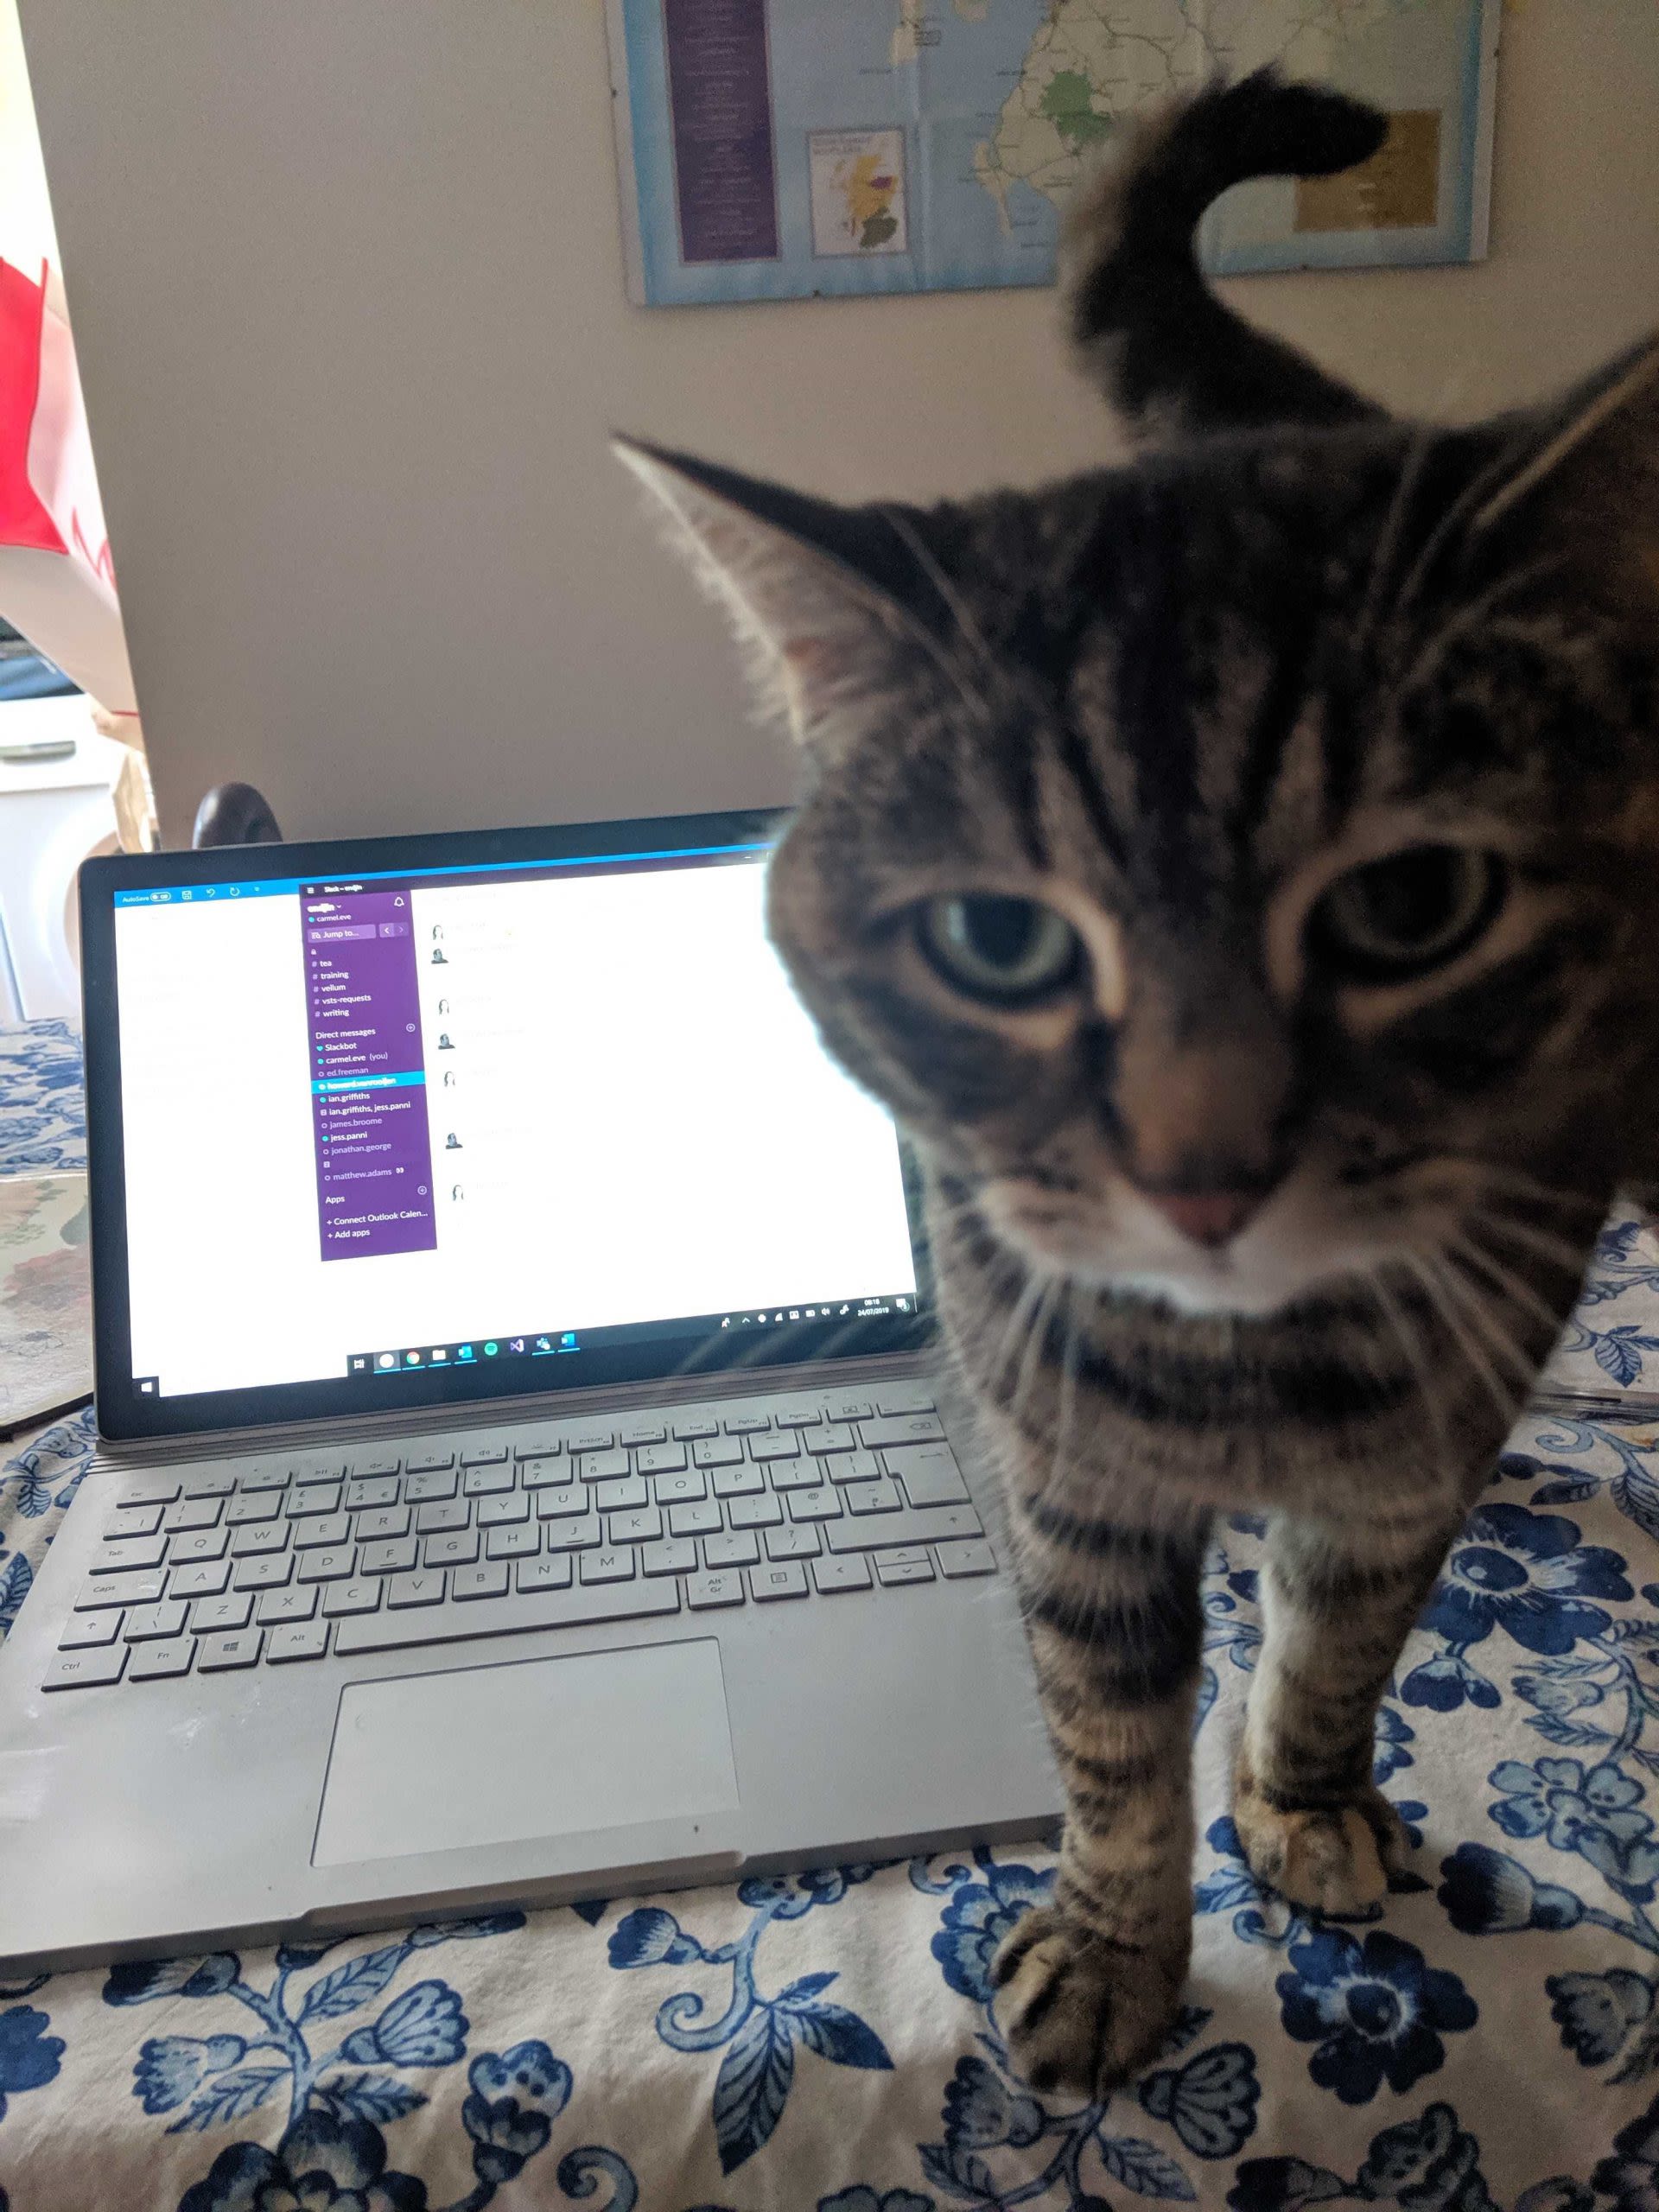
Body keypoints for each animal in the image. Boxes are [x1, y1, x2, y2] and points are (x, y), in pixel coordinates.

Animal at [619, 73, 1659, 2088]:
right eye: (995, 941)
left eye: (1413, 904)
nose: (1206, 1170)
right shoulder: (1066, 1466)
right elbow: (1106, 1730)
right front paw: (1117, 1946)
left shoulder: (1422, 1438)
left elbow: (1342, 1636)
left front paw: (1304, 1790)